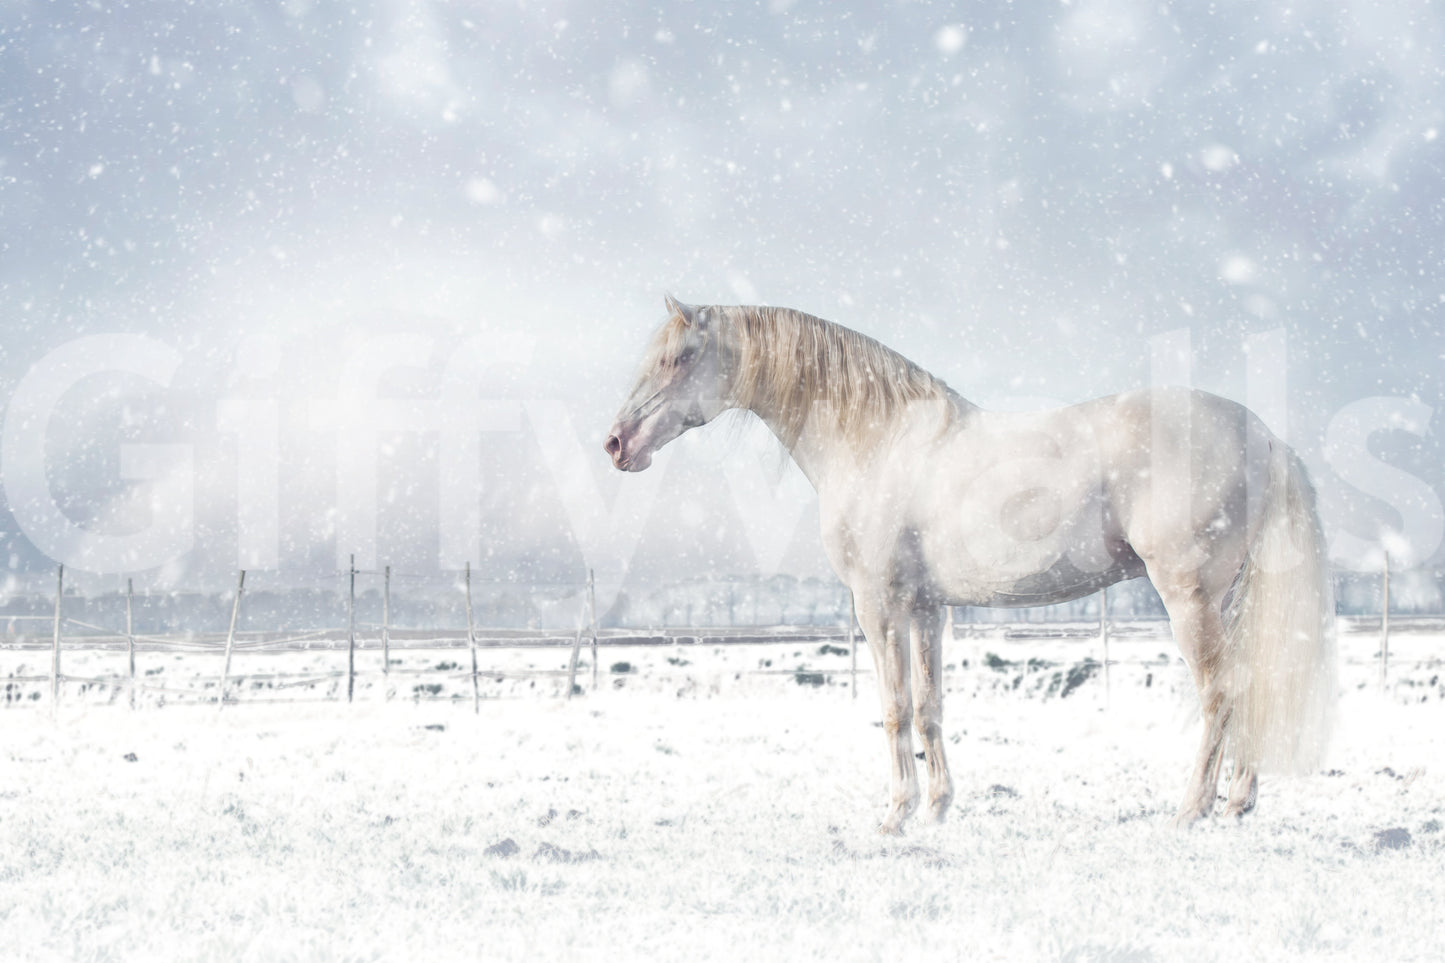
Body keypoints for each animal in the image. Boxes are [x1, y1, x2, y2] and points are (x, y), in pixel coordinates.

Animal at [604, 295, 1336, 834]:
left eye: (682, 357)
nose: (616, 443)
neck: (873, 439)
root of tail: (1265, 437)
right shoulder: (927, 607)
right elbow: (930, 706)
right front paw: (937, 808)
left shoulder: (877, 604)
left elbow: (894, 707)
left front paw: (896, 815)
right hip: (1231, 599)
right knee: (1251, 683)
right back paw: (1238, 801)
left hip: (1188, 597)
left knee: (1219, 691)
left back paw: (1191, 809)